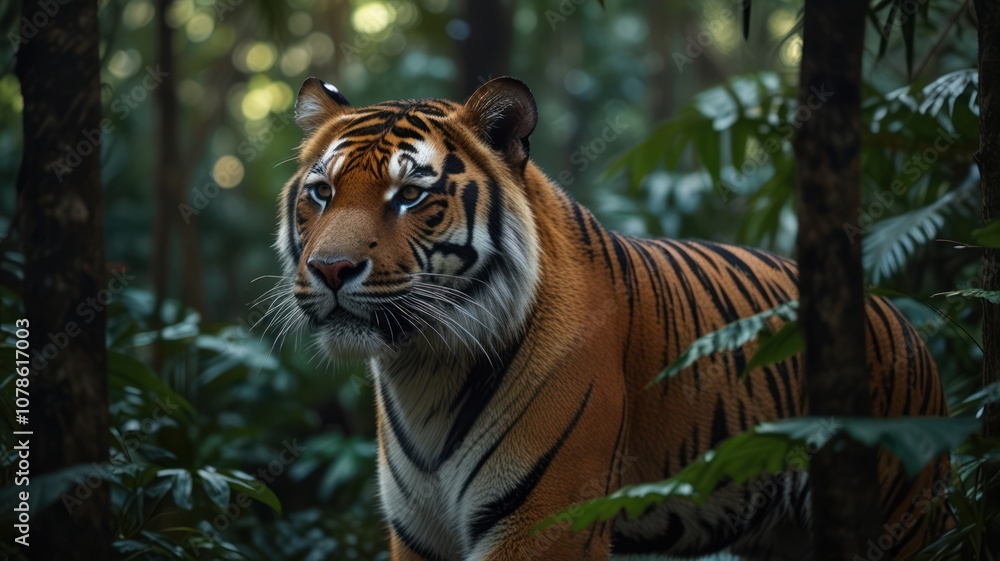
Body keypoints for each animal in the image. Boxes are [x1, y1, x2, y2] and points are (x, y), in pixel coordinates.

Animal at [274, 76, 949, 560]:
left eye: (411, 195)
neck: (425, 367)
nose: (331, 269)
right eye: (322, 193)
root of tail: (902, 316)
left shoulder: (545, 525)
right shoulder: (419, 534)